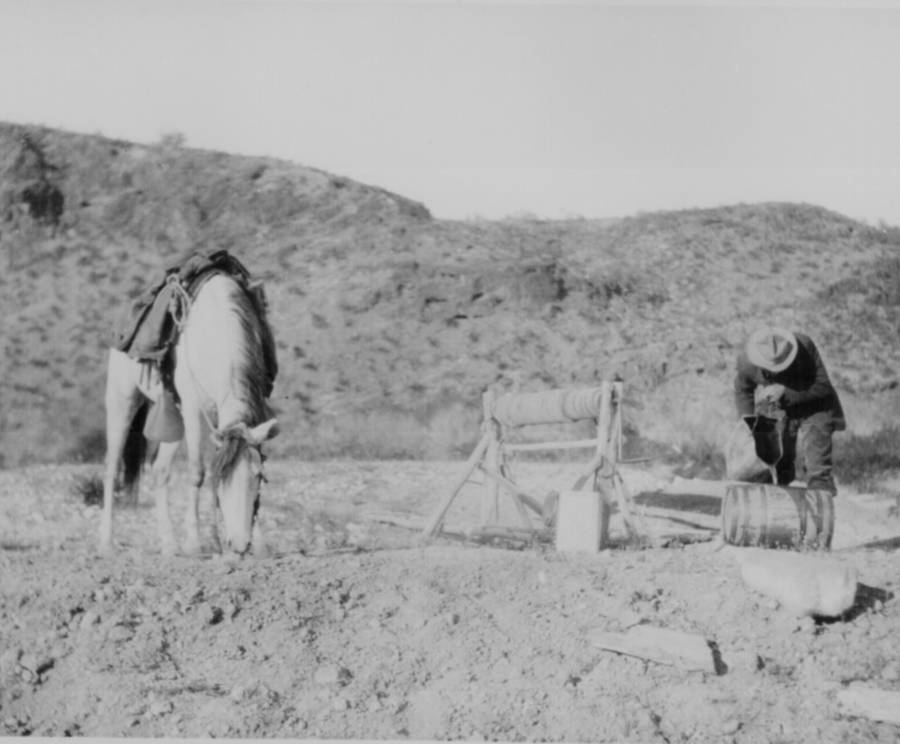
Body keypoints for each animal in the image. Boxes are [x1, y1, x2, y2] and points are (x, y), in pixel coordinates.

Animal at [100, 272, 280, 552]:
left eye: (258, 477)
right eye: (223, 480)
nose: (240, 544)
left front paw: (258, 543)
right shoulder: (195, 411)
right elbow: (198, 472)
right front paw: (195, 542)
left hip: (174, 418)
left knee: (160, 470)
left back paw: (168, 543)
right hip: (122, 401)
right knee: (111, 465)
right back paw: (106, 541)